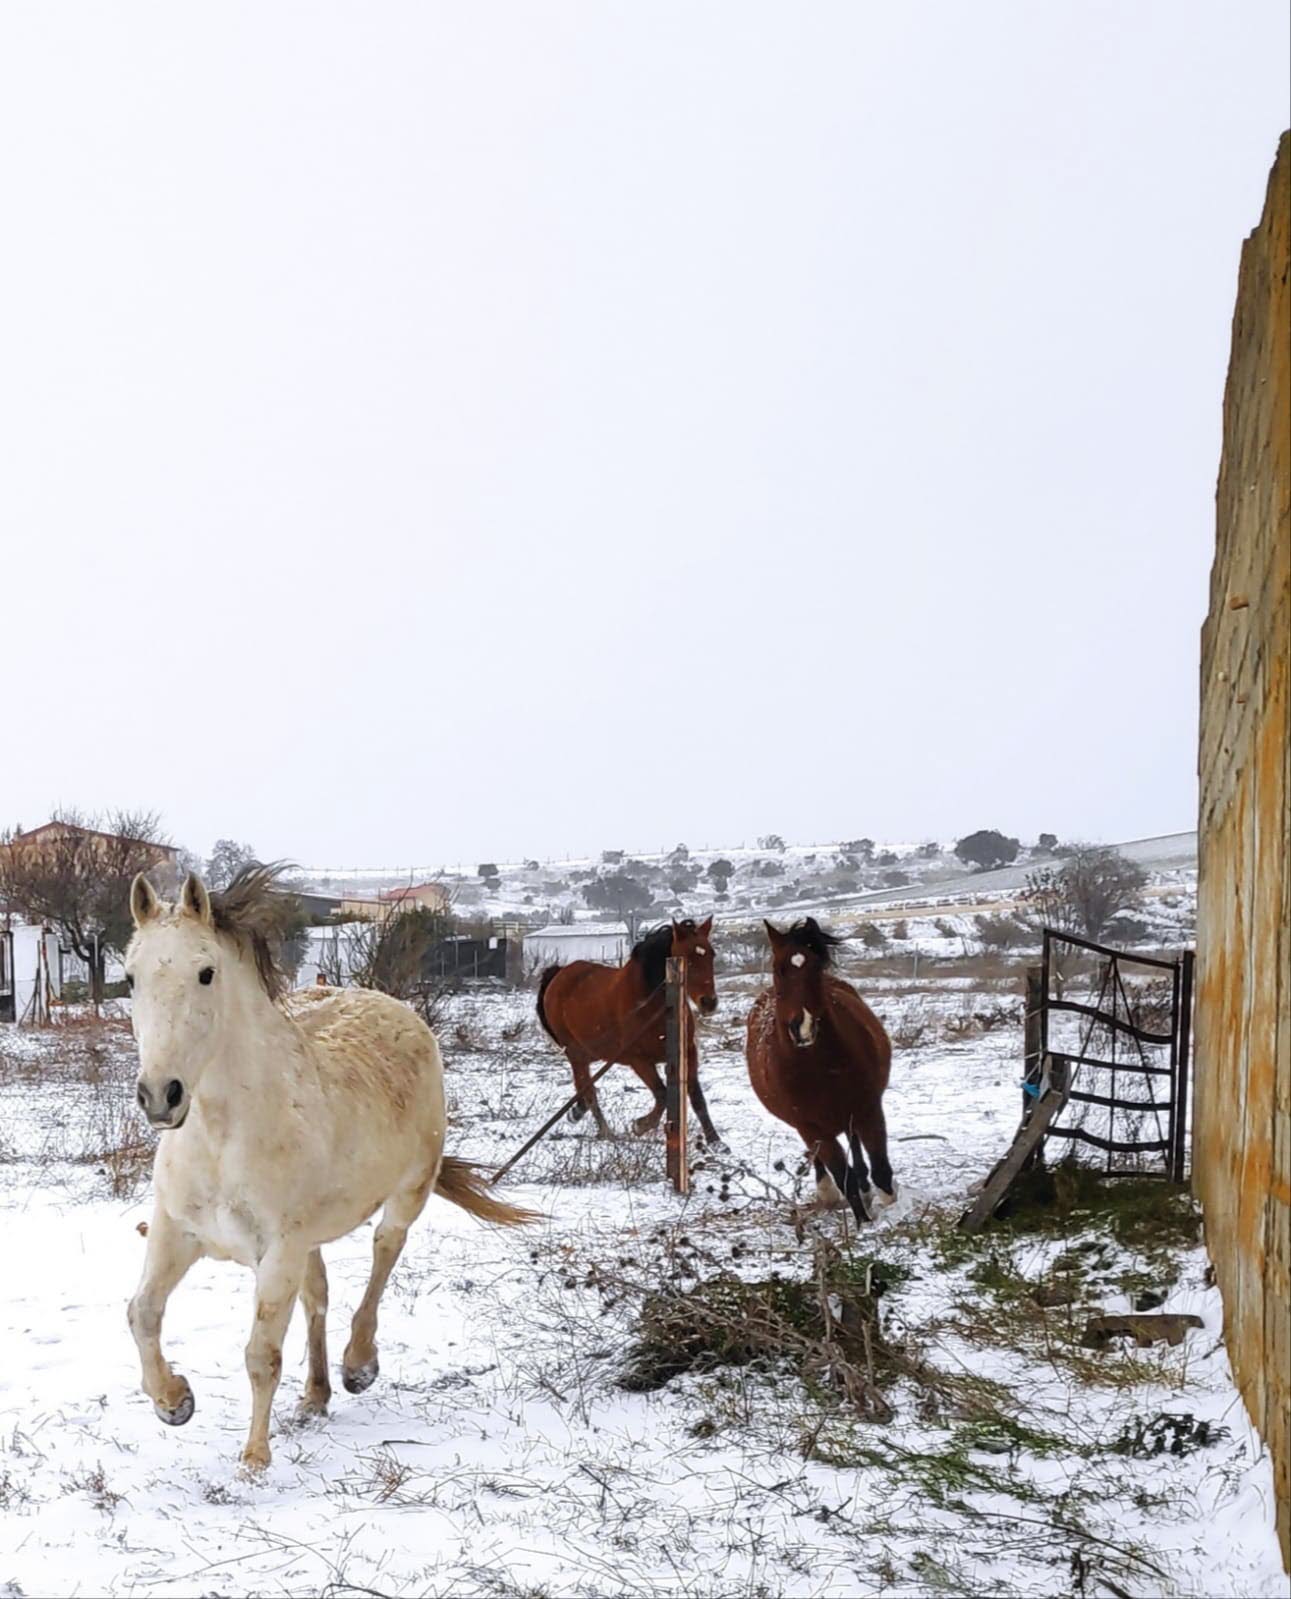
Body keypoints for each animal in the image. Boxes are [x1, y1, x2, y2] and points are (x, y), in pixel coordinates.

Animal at [124, 869, 531, 1464]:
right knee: (318, 1296)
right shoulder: (177, 1233)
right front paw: (174, 1402)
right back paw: (315, 1394)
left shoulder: (277, 1253)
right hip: (309, 1238)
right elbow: (143, 1313)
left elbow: (261, 1354)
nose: (160, 1096)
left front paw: (254, 1460)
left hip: (408, 1191)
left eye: (206, 973)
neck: (222, 1139)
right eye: (130, 977)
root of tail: (394, 1007)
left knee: (384, 1252)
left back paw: (358, 1366)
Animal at [531, 921, 723, 1144]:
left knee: (584, 1088)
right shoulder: (638, 1060)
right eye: (686, 957)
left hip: (592, 1052)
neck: (653, 1004)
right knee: (589, 1091)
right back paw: (605, 1131)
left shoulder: (688, 1052)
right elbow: (662, 1094)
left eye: (711, 954)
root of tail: (559, 974)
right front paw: (640, 1126)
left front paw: (717, 1142)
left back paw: (577, 1112)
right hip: (575, 1051)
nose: (709, 1002)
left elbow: (696, 1097)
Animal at [748, 914, 895, 1221]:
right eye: (778, 968)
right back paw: (827, 1190)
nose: (801, 1027)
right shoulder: (812, 1127)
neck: (817, 1067)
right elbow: (844, 1178)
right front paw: (862, 1223)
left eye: (816, 967)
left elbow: (881, 1170)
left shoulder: (868, 1110)